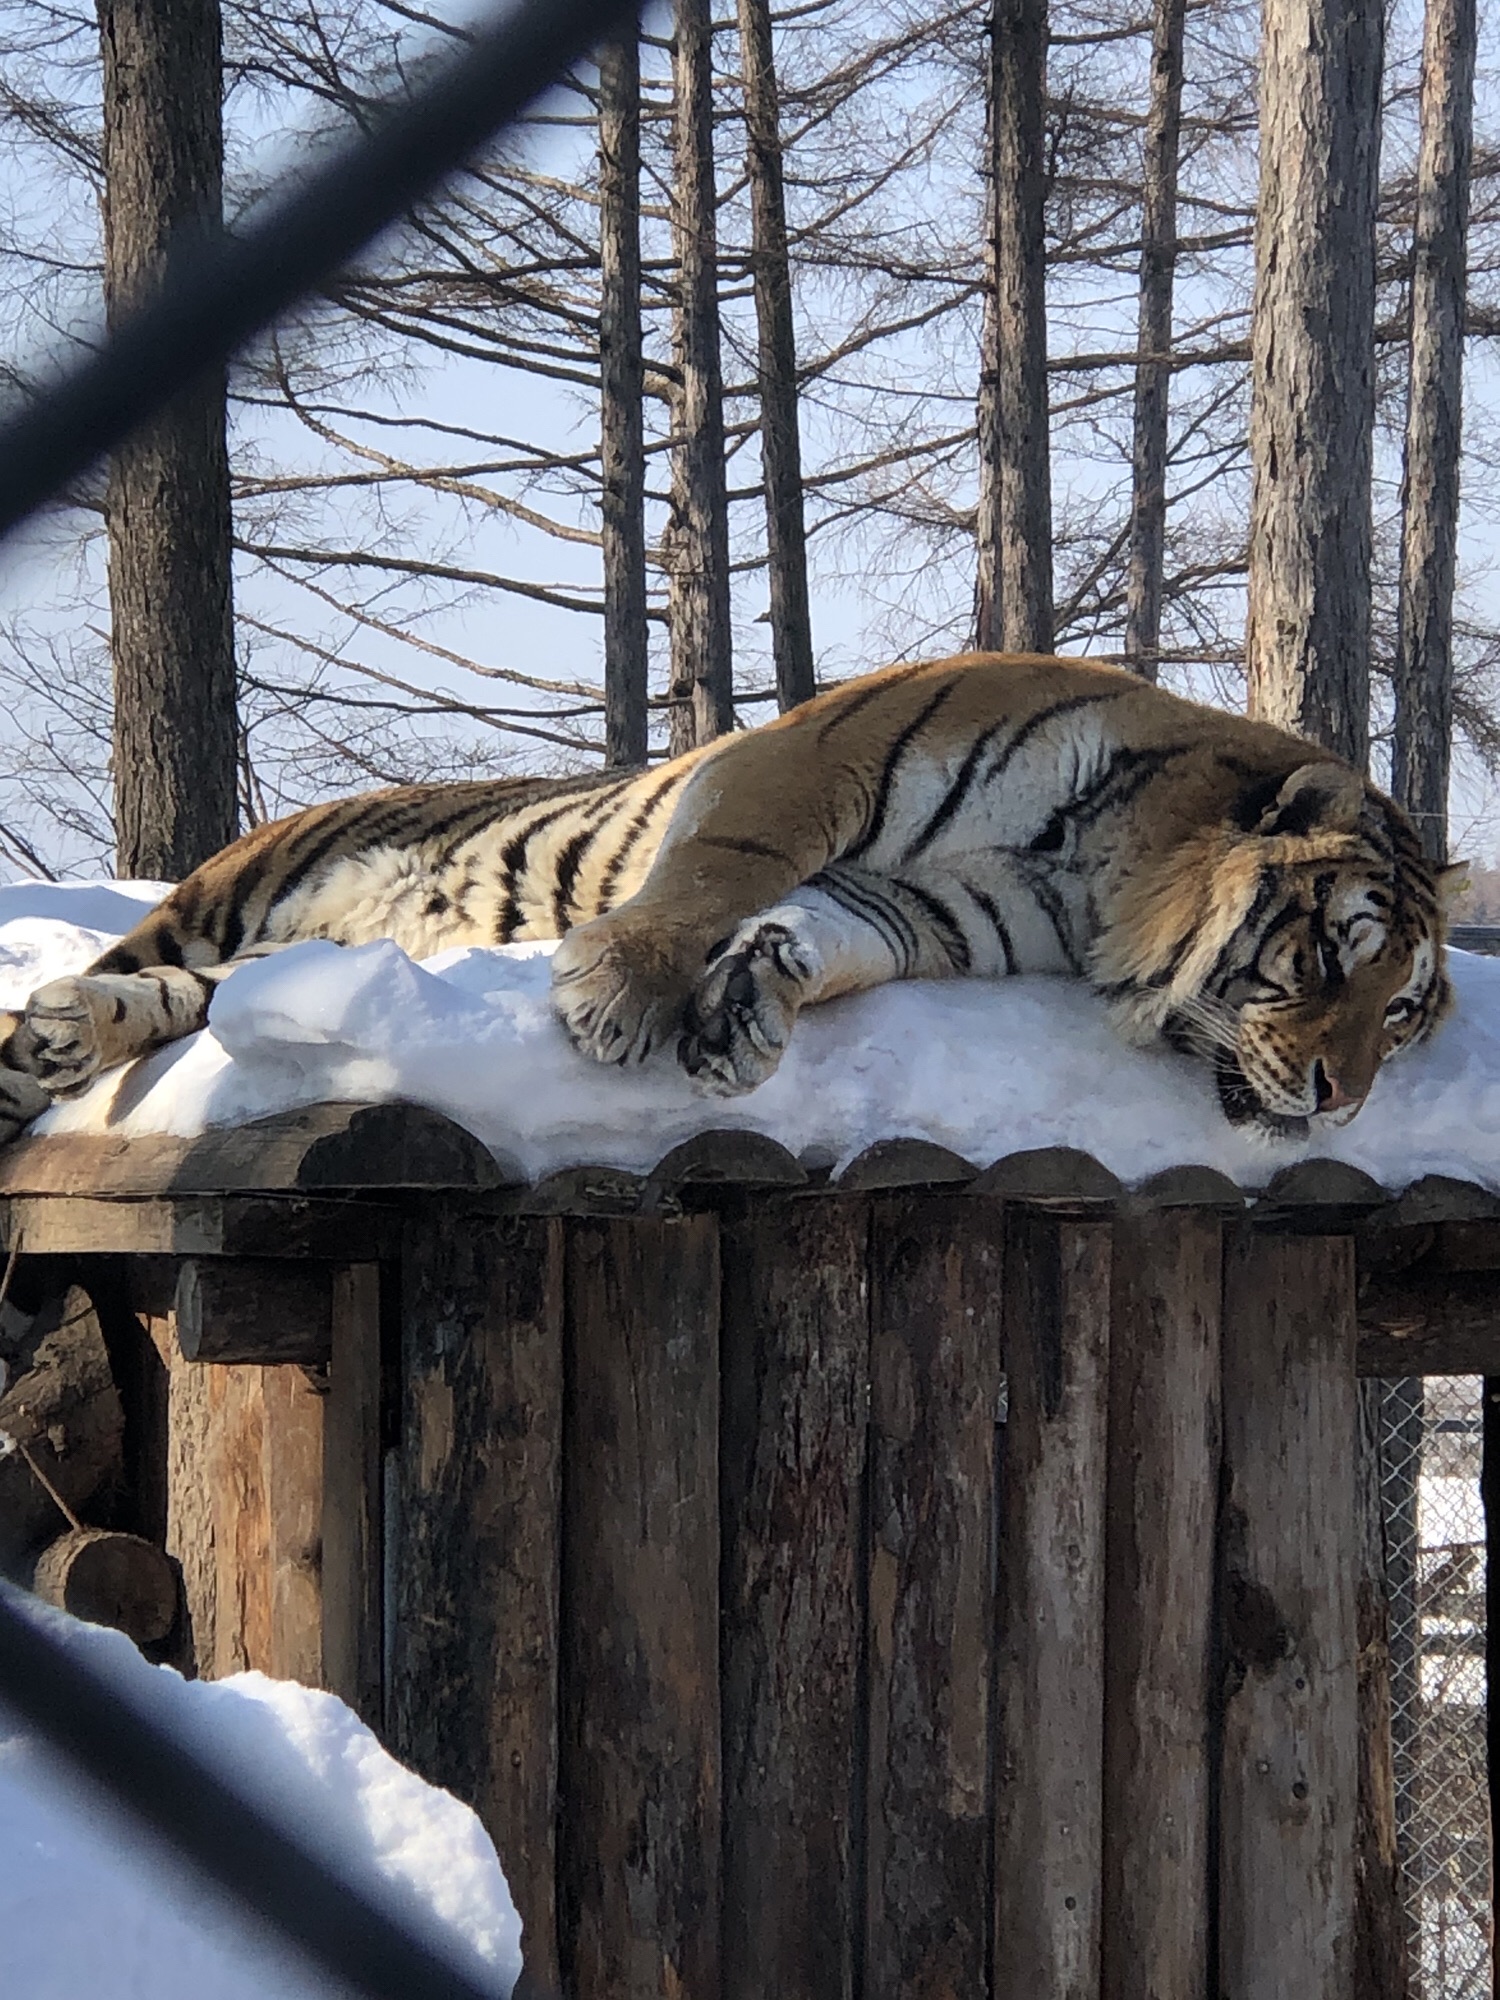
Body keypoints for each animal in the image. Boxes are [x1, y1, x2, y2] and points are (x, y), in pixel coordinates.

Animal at [0, 652, 1460, 1146]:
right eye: (1333, 959)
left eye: (1401, 1016)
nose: (1340, 1103)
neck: (1103, 877)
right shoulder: (807, 761)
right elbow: (723, 868)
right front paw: (622, 994)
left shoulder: (942, 912)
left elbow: (831, 939)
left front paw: (750, 1010)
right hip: (243, 881)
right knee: (152, 952)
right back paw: (40, 1051)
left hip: (267, 951)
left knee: (191, 994)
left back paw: (67, 1033)